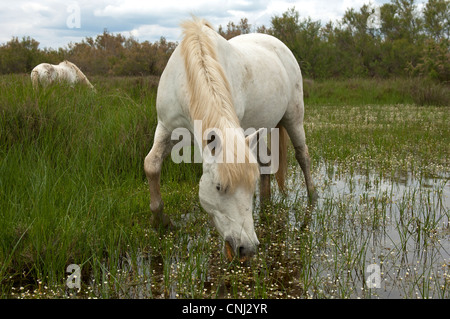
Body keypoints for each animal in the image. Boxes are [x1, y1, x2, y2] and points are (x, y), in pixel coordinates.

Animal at [144, 16, 316, 262]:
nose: (248, 248)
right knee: (266, 162)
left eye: (249, 187)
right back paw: (265, 203)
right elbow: (152, 165)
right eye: (218, 187)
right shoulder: (166, 128)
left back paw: (312, 196)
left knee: (303, 156)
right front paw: (160, 221)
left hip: (293, 118)